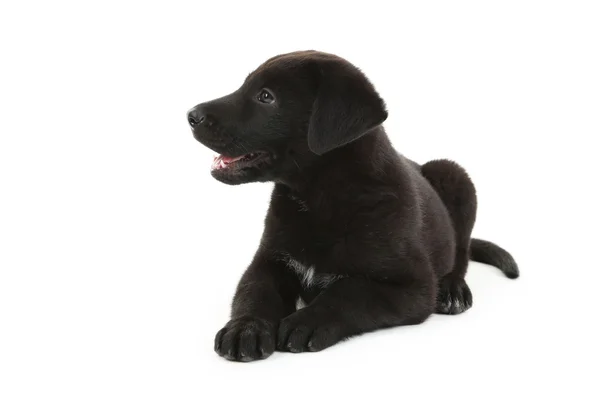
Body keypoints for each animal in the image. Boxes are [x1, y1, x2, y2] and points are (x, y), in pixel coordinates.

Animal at [188, 50, 520, 362]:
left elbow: (350, 292)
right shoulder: (269, 260)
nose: (191, 115)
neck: (319, 198)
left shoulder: (413, 286)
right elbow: (255, 291)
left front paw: (306, 321)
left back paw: (453, 289)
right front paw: (245, 328)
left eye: (266, 96)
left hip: (454, 175)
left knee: (460, 252)